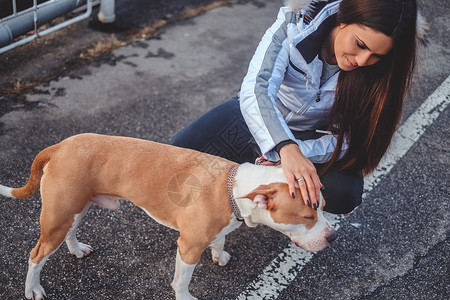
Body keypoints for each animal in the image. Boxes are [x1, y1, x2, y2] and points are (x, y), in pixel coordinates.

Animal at [0, 134, 336, 300]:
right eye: (308, 214)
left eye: (322, 205)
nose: (332, 236)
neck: (233, 187)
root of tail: (59, 146)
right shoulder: (188, 247)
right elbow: (182, 281)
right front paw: (185, 296)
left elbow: (220, 239)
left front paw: (220, 254)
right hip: (58, 215)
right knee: (36, 255)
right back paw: (32, 290)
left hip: (74, 208)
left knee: (69, 232)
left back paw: (75, 249)